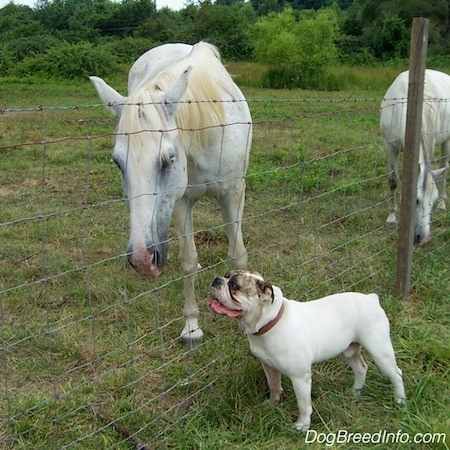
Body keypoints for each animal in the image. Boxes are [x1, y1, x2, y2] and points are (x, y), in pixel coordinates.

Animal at [90, 43, 253, 344]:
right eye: (117, 162)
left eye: (168, 159)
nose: (142, 260)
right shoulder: (180, 201)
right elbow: (187, 261)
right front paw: (191, 327)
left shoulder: (234, 192)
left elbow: (238, 254)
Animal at [380, 69, 450, 244]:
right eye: (416, 200)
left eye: (433, 200)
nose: (422, 238)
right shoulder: (390, 146)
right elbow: (393, 181)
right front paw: (391, 218)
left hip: (447, 141)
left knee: (445, 167)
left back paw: (443, 205)